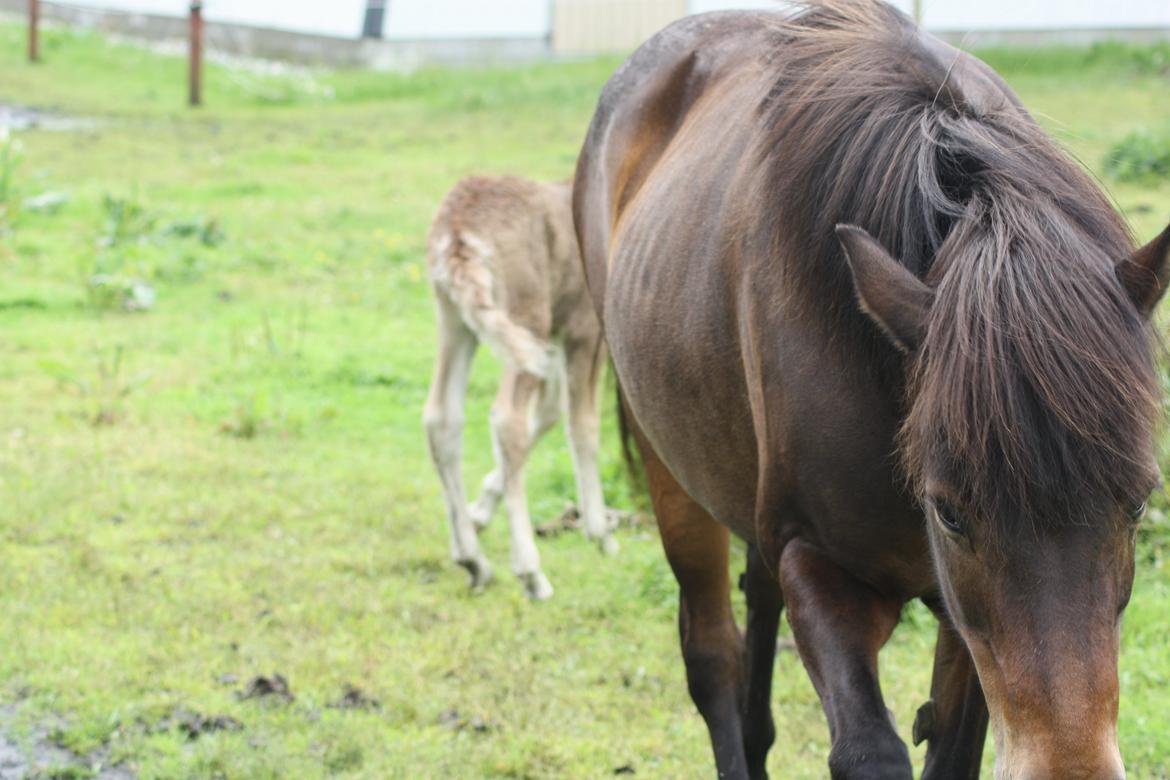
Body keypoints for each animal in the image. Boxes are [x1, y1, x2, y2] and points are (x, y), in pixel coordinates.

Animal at [425, 178, 617, 603]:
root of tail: (458, 229)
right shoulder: (584, 330)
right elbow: (582, 425)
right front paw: (600, 533)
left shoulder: (555, 345)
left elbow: (549, 413)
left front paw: (478, 512)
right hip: (527, 315)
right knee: (506, 419)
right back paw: (531, 573)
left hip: (454, 315)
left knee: (441, 416)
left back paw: (473, 560)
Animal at [573, 3, 1170, 776]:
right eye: (950, 514)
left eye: (1140, 502)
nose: (1072, 767)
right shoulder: (818, 560)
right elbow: (869, 749)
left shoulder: (964, 622)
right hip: (669, 472)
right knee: (711, 657)